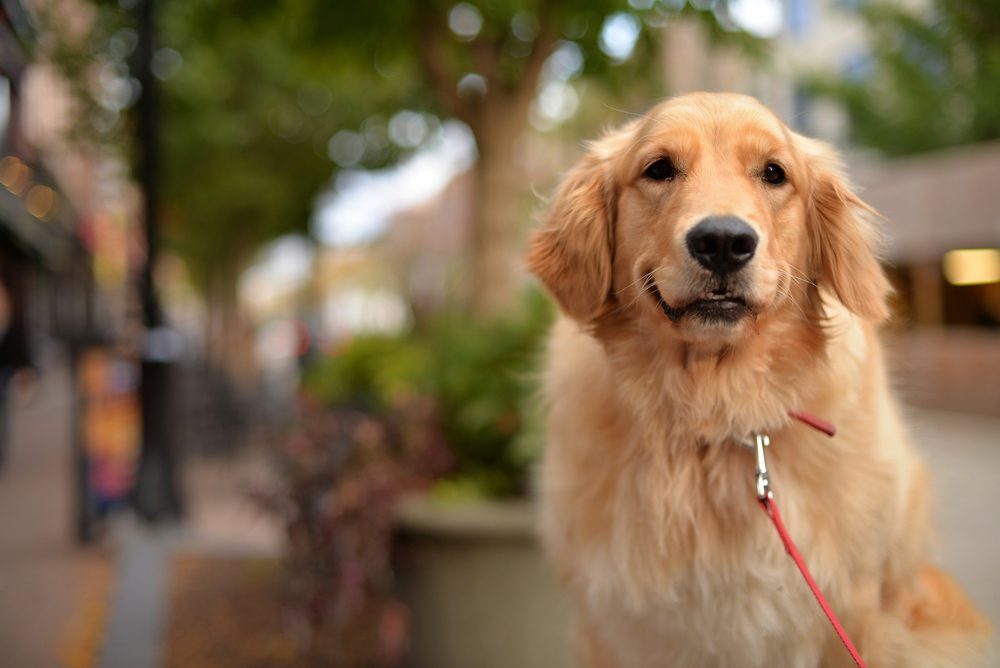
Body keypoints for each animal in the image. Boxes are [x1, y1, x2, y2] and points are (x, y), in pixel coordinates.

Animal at [528, 94, 988, 668]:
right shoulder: (614, 625)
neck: (715, 408)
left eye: (773, 173)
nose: (723, 241)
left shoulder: (856, 606)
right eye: (658, 169)